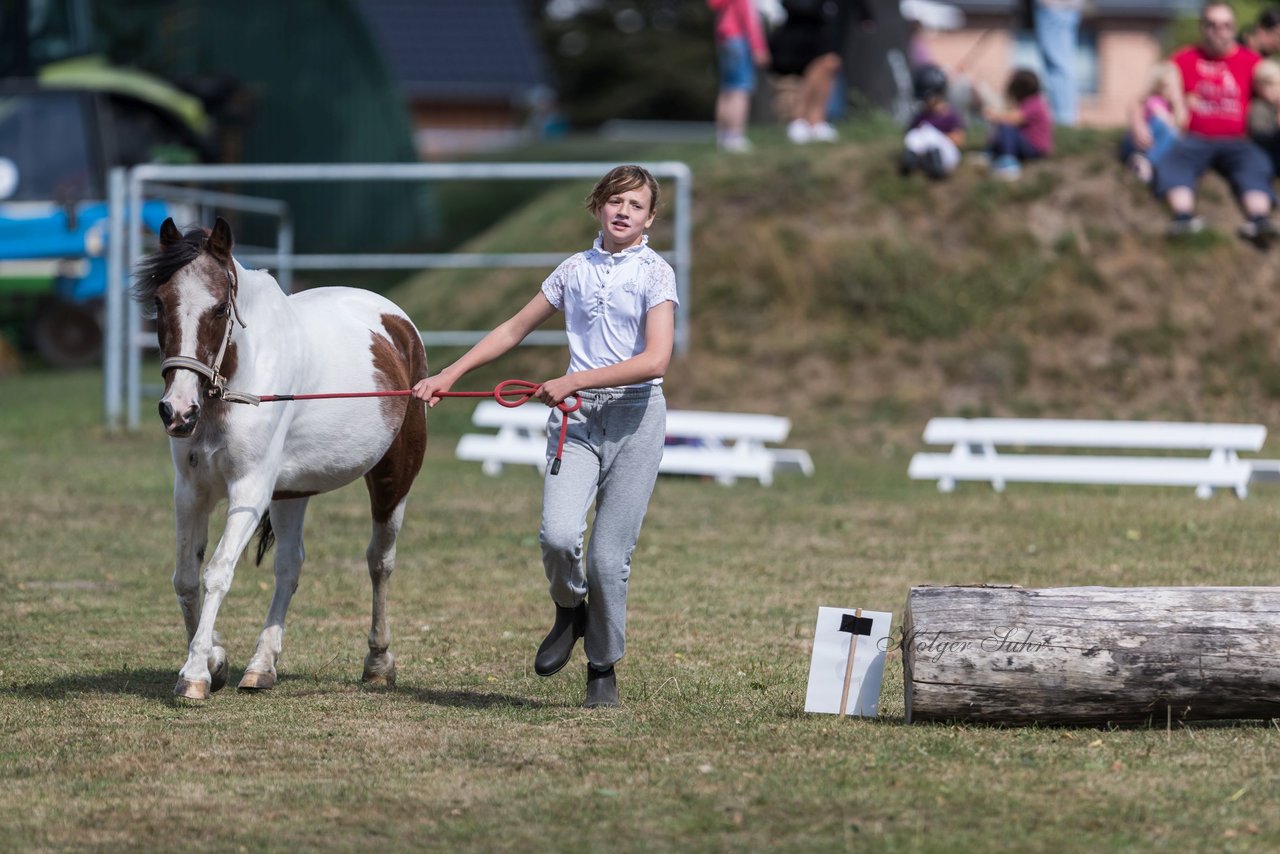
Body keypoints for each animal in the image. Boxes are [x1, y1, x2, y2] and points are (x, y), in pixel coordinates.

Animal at [133, 217, 427, 696]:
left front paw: (195, 672)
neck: (236, 386)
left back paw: (379, 661)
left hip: (393, 477)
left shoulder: (249, 489)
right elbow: (186, 578)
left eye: (220, 309)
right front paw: (215, 660)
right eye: (159, 303)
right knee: (290, 566)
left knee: (379, 561)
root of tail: (396, 323)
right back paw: (262, 665)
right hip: (292, 492)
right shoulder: (191, 491)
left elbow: (217, 572)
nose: (177, 411)